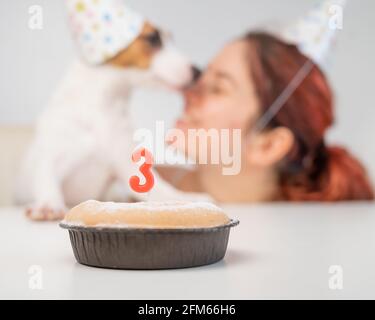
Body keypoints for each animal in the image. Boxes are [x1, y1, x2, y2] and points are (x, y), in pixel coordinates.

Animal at [15, 7, 209, 220]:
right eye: (152, 38)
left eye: (171, 39)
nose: (198, 71)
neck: (104, 106)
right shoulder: (54, 154)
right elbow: (46, 176)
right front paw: (48, 203)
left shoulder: (125, 161)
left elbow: (160, 189)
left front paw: (184, 198)